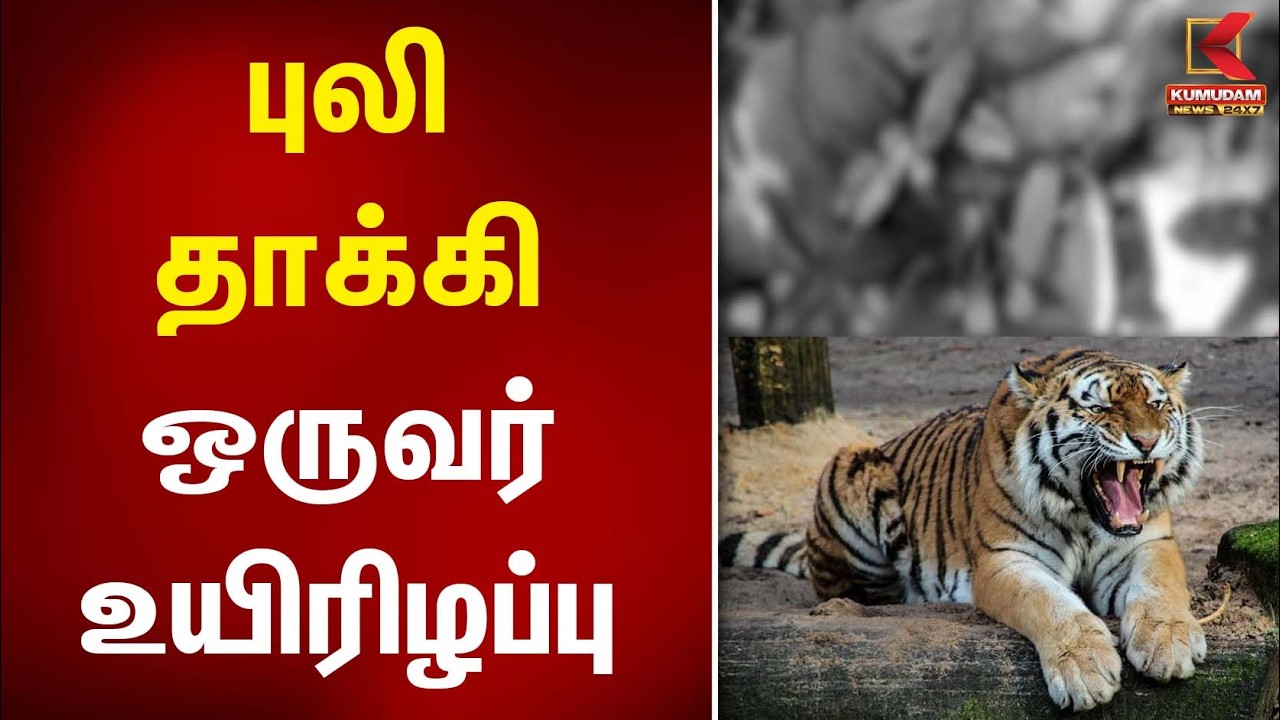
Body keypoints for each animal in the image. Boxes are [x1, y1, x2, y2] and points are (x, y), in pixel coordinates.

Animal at [720, 349, 1207, 712]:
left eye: (1157, 404)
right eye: (1098, 406)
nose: (1146, 441)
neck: (1083, 517)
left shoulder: (1149, 543)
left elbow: (1160, 587)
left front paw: (1169, 643)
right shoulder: (1004, 560)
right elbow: (1051, 604)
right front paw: (1084, 670)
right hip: (851, 464)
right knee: (851, 590)